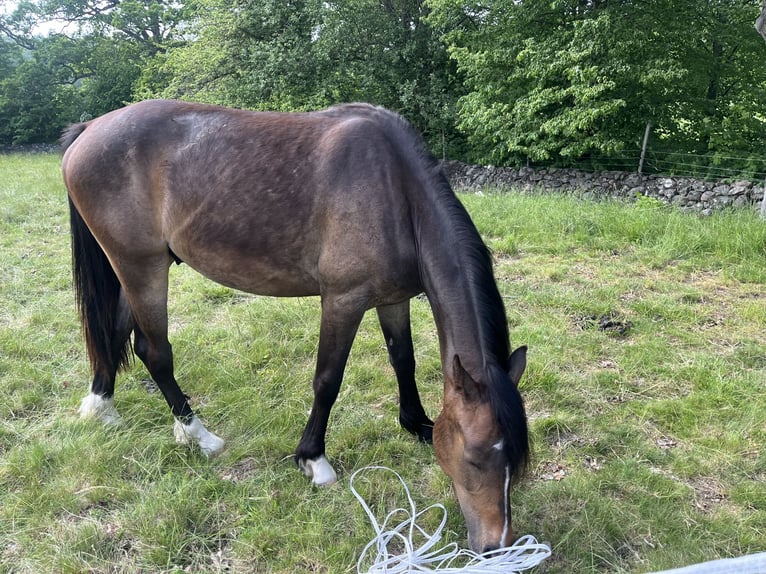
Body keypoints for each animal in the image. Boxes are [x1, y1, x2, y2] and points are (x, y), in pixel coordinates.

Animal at [60, 99, 532, 552]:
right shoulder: (343, 300)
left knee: (114, 335)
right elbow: (327, 380)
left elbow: (403, 360)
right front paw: (313, 459)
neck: (396, 190)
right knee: (154, 351)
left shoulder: (393, 298)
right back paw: (199, 435)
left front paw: (416, 424)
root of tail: (89, 129)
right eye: (474, 458)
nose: (496, 545)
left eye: (516, 460)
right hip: (142, 266)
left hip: (133, 268)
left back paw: (102, 405)